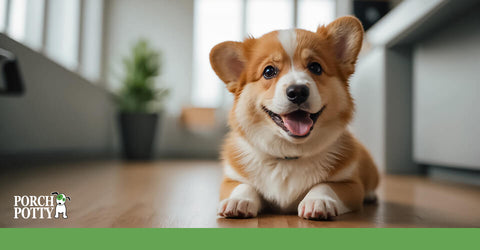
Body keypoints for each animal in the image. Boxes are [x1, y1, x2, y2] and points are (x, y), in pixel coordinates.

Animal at [210, 15, 378, 220]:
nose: (298, 91)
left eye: (315, 67)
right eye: (268, 71)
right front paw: (238, 201)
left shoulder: (351, 185)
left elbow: (326, 185)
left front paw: (318, 201)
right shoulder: (230, 180)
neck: (289, 155)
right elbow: (243, 186)